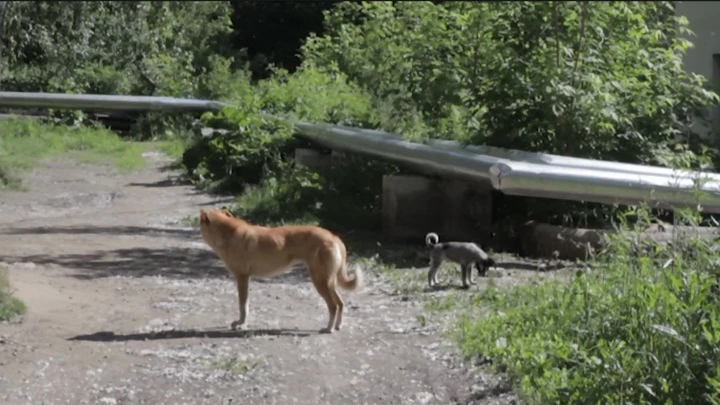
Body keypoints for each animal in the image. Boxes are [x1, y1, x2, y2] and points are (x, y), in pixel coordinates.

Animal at [198, 208, 362, 332]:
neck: (227, 234)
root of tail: (333, 236)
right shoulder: (246, 278)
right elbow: (246, 305)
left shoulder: (242, 277)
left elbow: (243, 306)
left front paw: (241, 324)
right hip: (329, 282)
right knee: (340, 303)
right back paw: (338, 326)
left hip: (320, 281)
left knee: (333, 305)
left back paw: (328, 329)